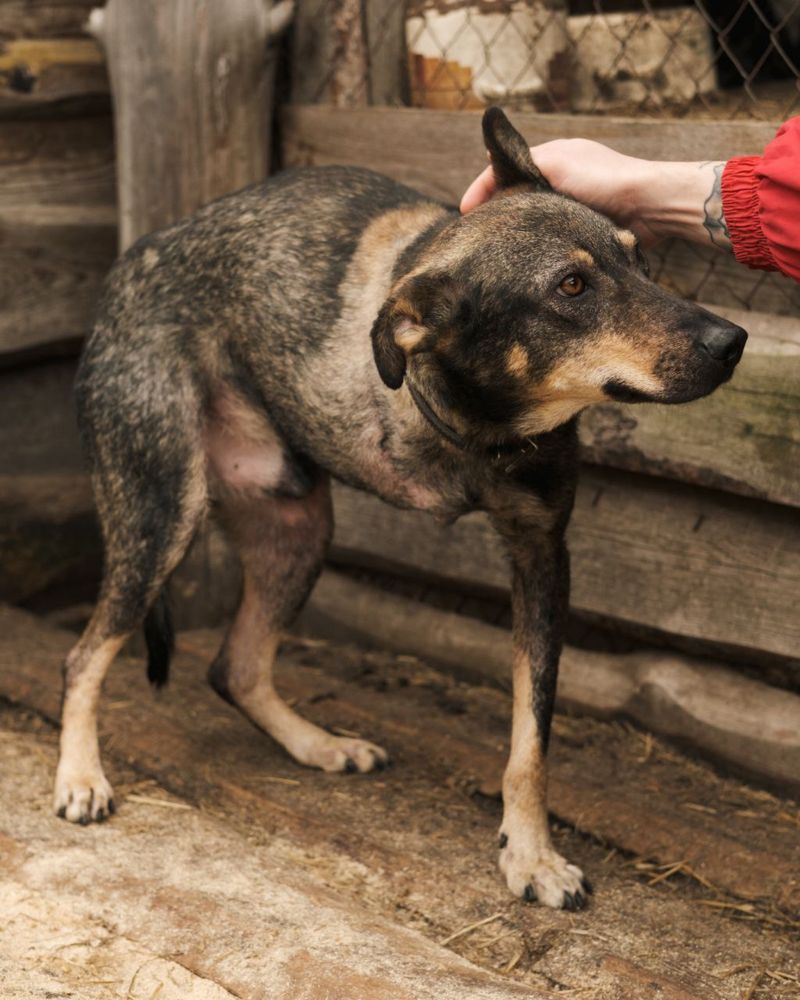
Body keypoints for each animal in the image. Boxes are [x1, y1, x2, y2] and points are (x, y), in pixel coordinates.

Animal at [57, 105, 752, 912]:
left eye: (640, 261)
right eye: (573, 286)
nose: (733, 340)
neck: (480, 422)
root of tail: (130, 262)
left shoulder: (542, 555)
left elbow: (531, 738)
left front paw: (531, 852)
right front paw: (535, 856)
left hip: (297, 529)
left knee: (236, 667)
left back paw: (319, 745)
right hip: (160, 512)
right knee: (87, 653)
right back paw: (80, 776)